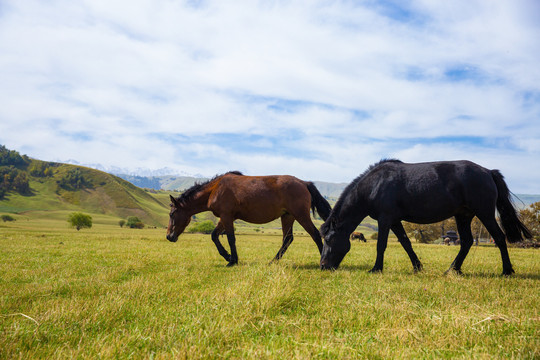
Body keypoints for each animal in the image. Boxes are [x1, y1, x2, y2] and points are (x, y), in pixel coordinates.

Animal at [167, 172, 332, 268]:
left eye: (172, 214)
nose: (169, 236)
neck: (215, 189)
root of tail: (304, 183)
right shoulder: (225, 217)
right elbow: (214, 236)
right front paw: (228, 256)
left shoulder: (226, 216)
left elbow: (231, 238)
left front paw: (232, 260)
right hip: (287, 216)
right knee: (288, 239)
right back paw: (272, 262)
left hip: (300, 215)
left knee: (315, 235)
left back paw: (322, 263)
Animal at [320, 159, 532, 274]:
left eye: (329, 239)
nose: (323, 266)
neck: (375, 185)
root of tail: (488, 172)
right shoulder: (394, 220)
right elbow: (406, 243)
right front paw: (417, 267)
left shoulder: (385, 219)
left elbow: (381, 245)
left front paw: (376, 269)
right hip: (463, 216)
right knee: (466, 242)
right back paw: (452, 270)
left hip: (485, 214)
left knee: (499, 238)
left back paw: (507, 271)